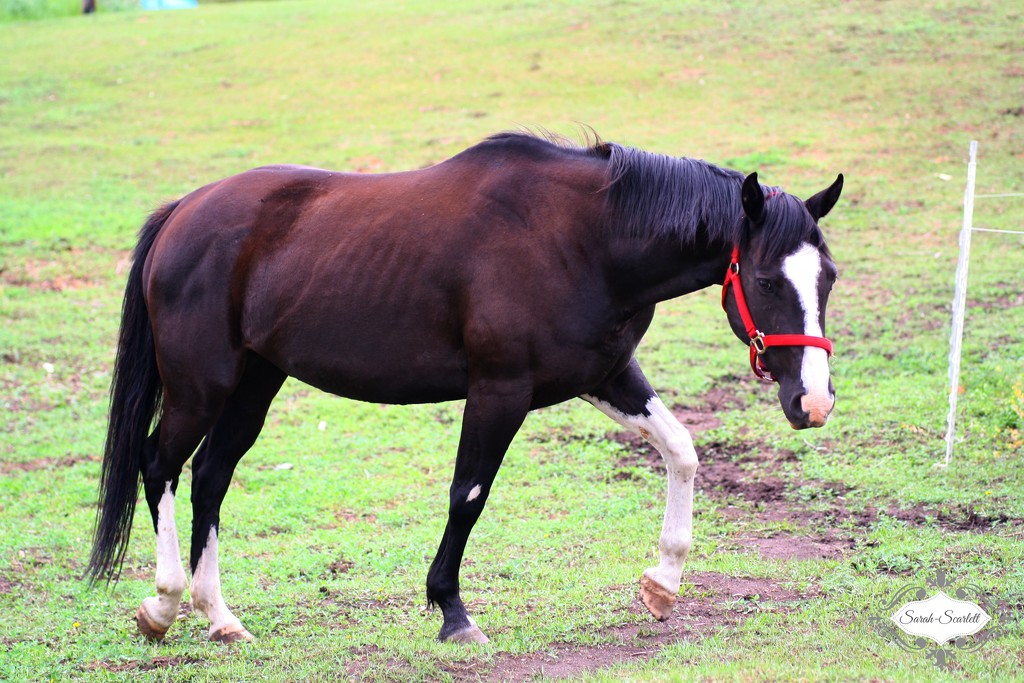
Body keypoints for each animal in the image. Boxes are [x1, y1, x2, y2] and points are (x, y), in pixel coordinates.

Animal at [86, 132, 839, 647]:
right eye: (766, 280)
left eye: (827, 277)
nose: (814, 402)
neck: (582, 241)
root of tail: (184, 210)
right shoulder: (499, 391)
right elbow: (468, 496)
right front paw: (452, 611)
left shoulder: (604, 377)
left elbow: (682, 451)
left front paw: (662, 584)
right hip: (201, 387)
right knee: (159, 465)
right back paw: (163, 604)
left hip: (254, 383)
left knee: (210, 476)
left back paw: (219, 616)